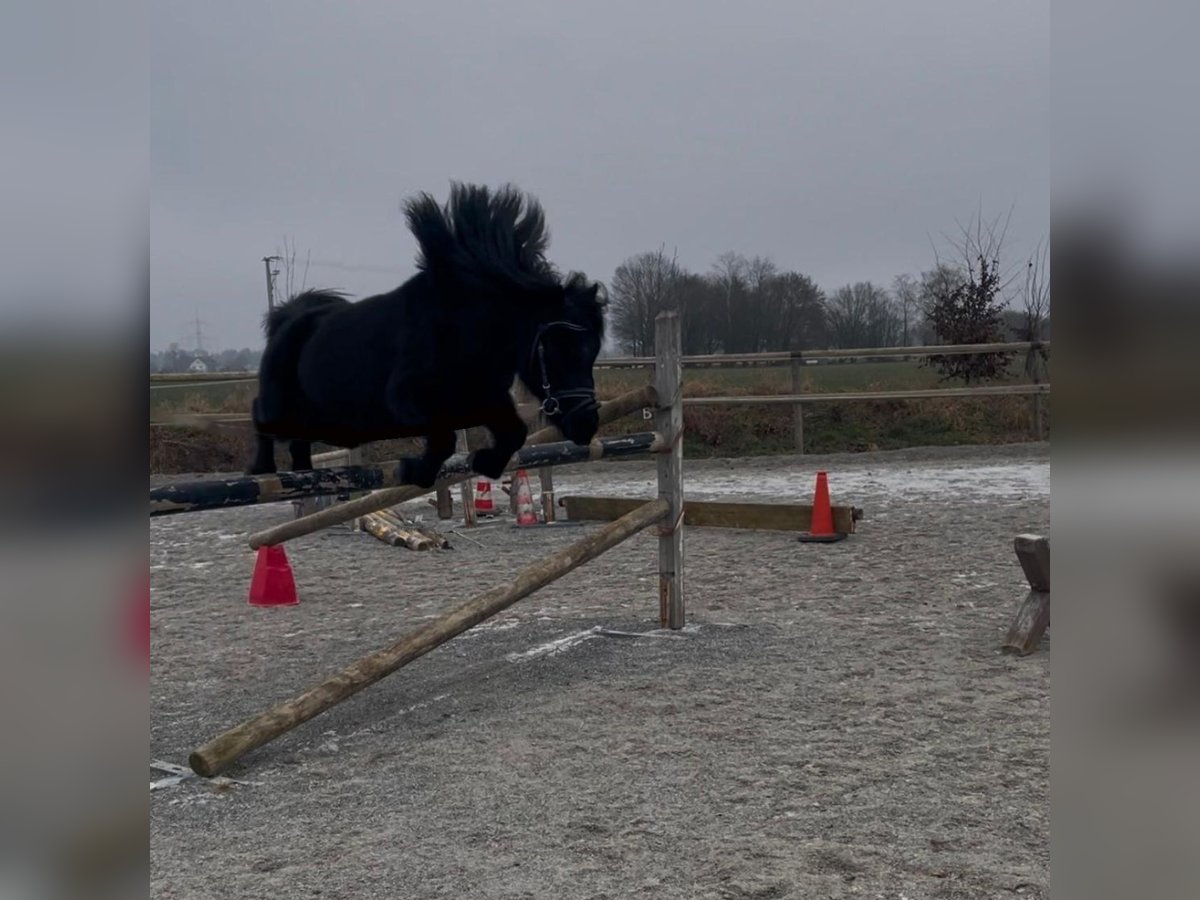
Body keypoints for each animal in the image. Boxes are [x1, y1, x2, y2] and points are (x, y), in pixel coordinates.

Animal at [250, 183, 609, 489]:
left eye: (592, 351)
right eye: (557, 349)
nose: (587, 424)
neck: (465, 333)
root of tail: (289, 318)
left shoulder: (485, 400)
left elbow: (514, 433)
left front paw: (485, 462)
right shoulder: (409, 401)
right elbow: (444, 438)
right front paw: (415, 471)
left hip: (324, 424)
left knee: (296, 441)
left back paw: (303, 471)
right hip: (284, 412)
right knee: (259, 415)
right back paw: (262, 470)